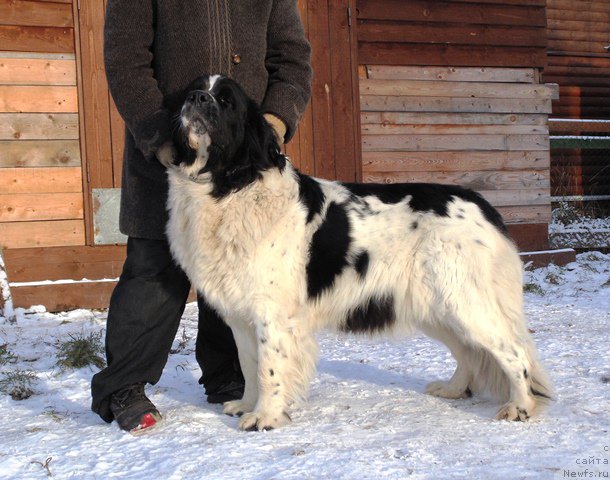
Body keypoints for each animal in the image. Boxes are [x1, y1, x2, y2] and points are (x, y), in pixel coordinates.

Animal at [165, 75, 552, 432]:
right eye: (192, 89)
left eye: (226, 100)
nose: (196, 98)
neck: (229, 185)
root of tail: (484, 207)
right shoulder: (241, 314)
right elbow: (249, 364)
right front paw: (247, 405)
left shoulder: (271, 313)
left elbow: (268, 368)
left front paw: (265, 417)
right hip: (436, 306)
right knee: (470, 352)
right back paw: (454, 389)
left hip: (463, 301)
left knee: (514, 352)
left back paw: (520, 407)